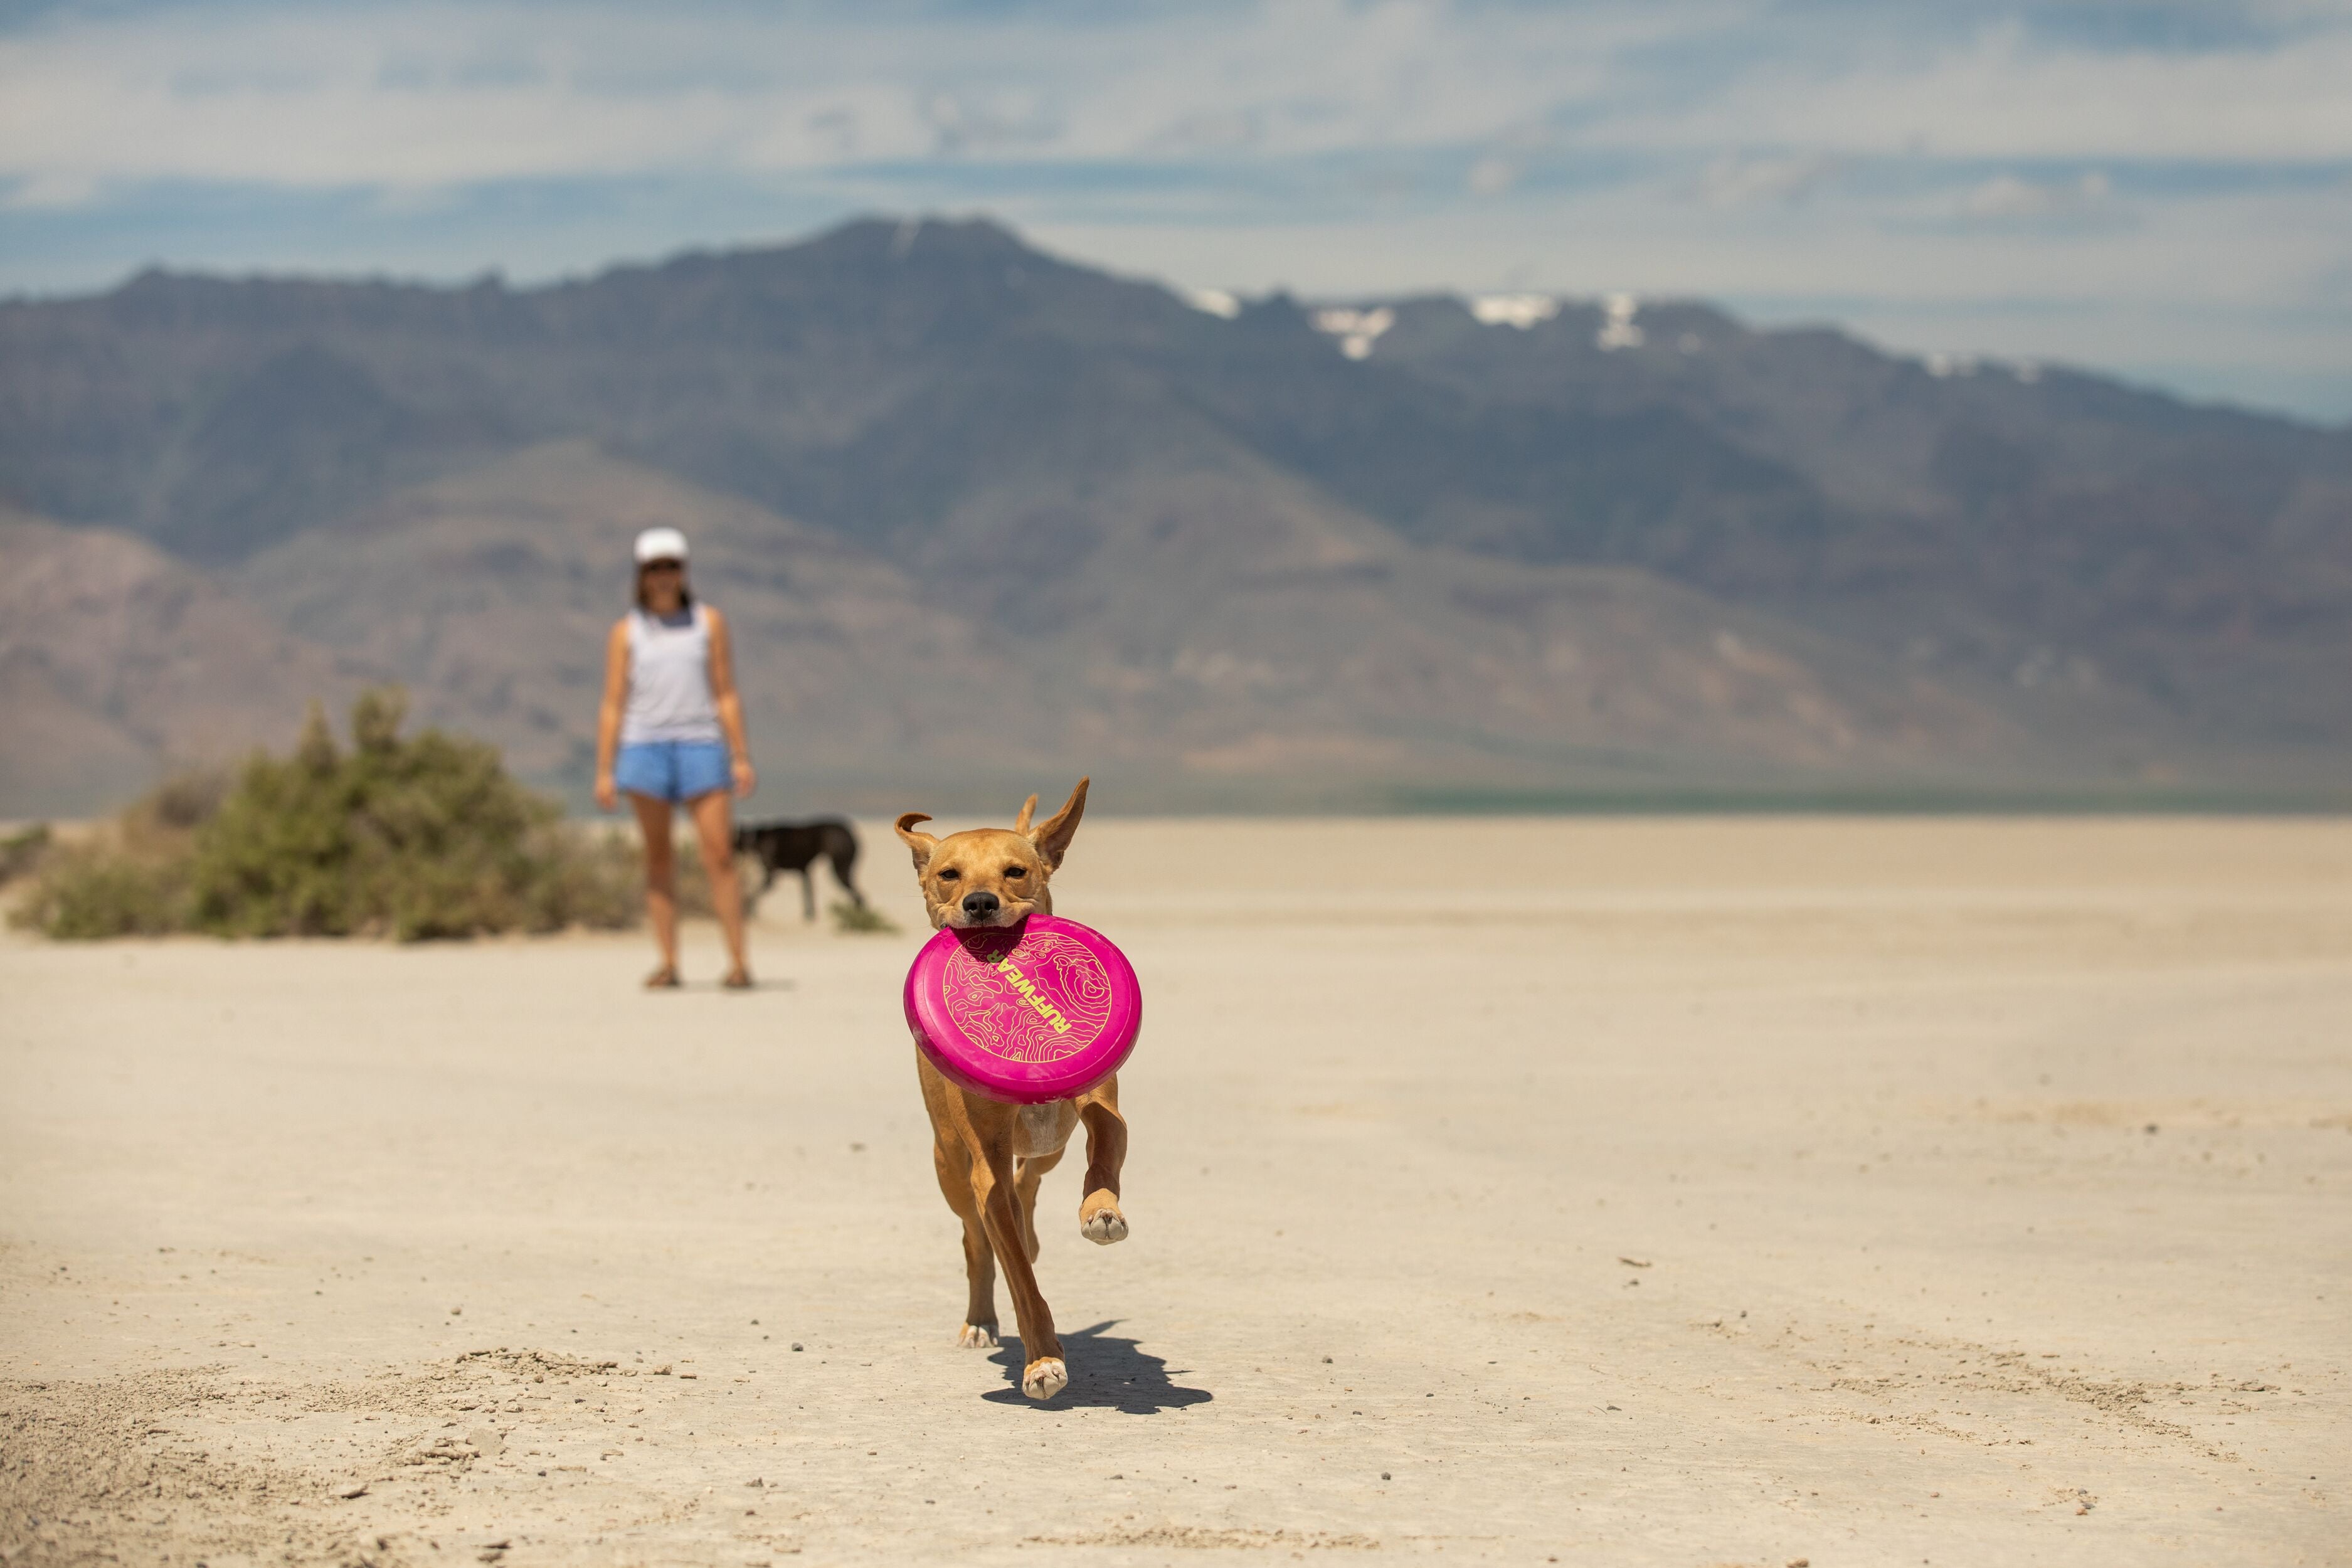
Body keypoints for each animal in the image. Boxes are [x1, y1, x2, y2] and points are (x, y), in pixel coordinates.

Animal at [734, 822, 866, 921]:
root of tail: (852, 837)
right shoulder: (804, 872)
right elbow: (808, 896)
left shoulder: (771, 876)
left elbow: (753, 896)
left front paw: (748, 911)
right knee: (858, 897)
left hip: (840, 871)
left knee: (859, 897)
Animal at [889, 780, 1129, 1401]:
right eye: (949, 875)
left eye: (1016, 872)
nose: (979, 903)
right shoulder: (985, 1167)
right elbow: (1016, 1270)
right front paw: (1042, 1359)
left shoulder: (1099, 1101)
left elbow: (1105, 1142)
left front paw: (1101, 1210)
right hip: (949, 1165)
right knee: (978, 1242)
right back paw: (980, 1318)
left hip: (1048, 1148)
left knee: (1031, 1184)